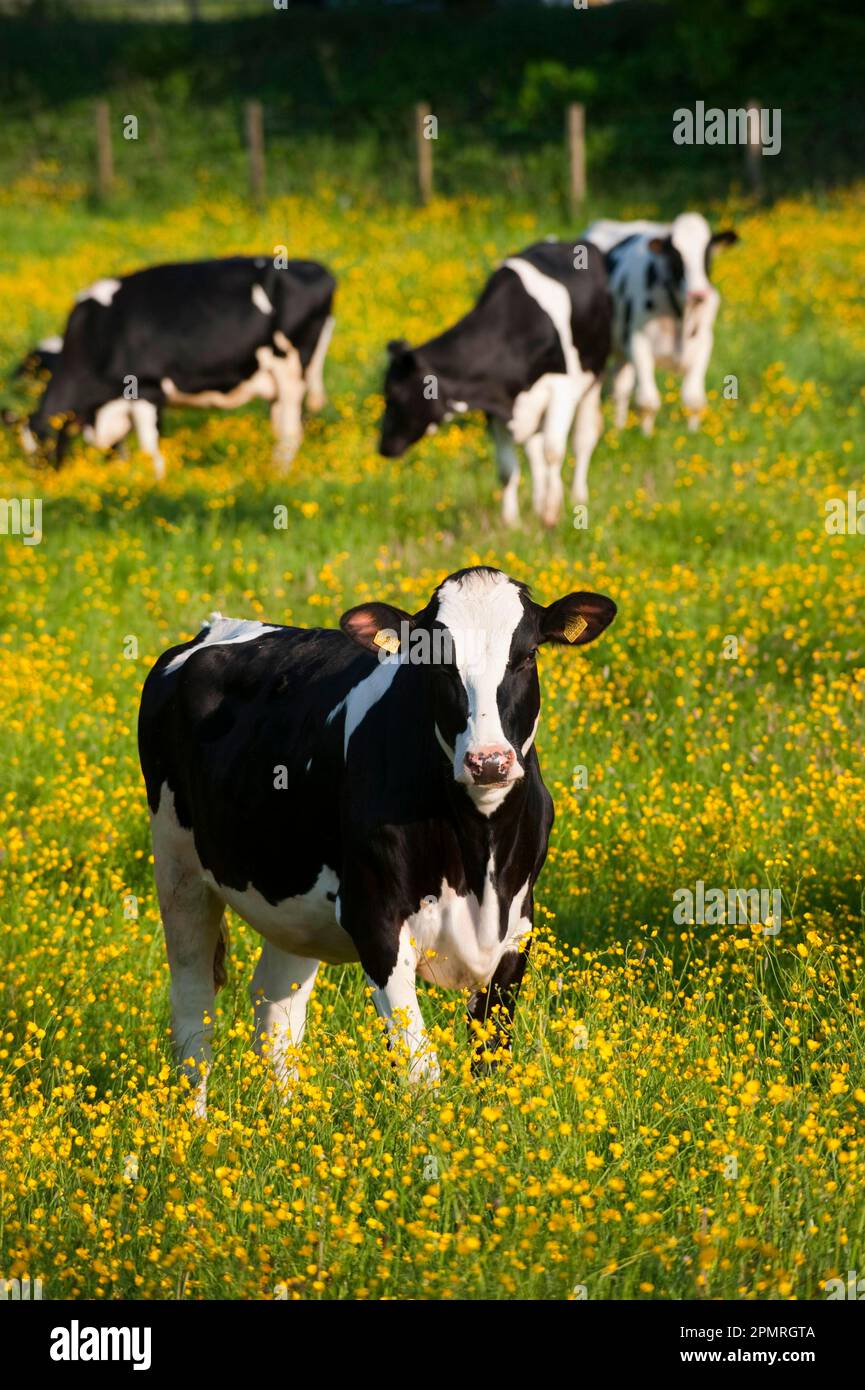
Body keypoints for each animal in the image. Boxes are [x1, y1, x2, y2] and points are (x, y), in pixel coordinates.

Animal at [25, 257, 336, 474]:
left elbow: (150, 450)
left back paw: (277, 477)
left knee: (291, 433)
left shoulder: (146, 389)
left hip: (291, 371)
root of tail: (319, 269)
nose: (44, 483)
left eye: (42, 446)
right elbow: (118, 451)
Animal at [138, 565, 617, 1114]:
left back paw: (286, 1119)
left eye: (527, 655)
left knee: (276, 1008)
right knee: (194, 1005)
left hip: (295, 899)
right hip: (178, 868)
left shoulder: (516, 930)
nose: (489, 761)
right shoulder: (376, 921)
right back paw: (195, 1124)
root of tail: (214, 628)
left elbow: (492, 1064)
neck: (480, 848)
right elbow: (421, 1072)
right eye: (437, 663)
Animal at [379, 240, 612, 523]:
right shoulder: (492, 401)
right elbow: (507, 469)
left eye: (395, 394)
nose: (383, 446)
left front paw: (550, 514)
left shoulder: (562, 389)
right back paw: (537, 502)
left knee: (582, 439)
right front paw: (511, 521)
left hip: (593, 377)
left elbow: (553, 452)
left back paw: (577, 496)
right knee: (533, 450)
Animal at [583, 213, 739, 435]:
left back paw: (619, 427)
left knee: (620, 386)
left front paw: (692, 434)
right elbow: (648, 400)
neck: (680, 313)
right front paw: (646, 436)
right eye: (676, 255)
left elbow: (693, 398)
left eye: (707, 253)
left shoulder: (704, 342)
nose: (698, 294)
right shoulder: (638, 341)